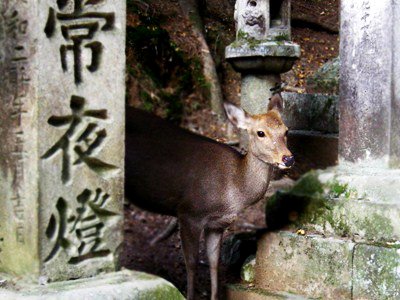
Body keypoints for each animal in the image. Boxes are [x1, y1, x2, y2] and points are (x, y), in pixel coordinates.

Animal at [125, 92, 294, 298]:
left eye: (286, 130)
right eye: (260, 132)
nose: (288, 158)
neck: (232, 192)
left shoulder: (217, 224)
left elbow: (214, 263)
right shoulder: (188, 213)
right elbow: (191, 263)